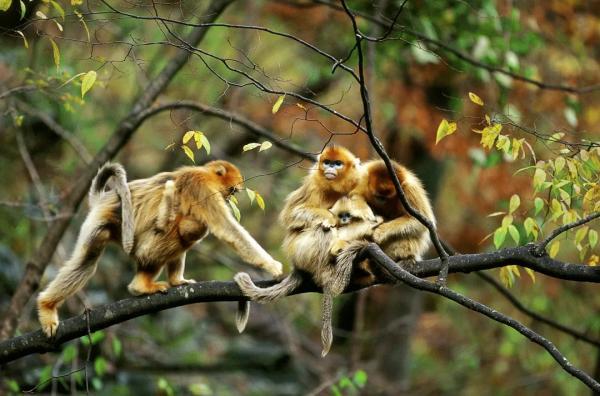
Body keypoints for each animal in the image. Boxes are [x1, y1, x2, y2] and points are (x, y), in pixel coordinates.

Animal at [38, 161, 284, 338]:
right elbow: (227, 229)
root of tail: (106, 198)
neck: (202, 173)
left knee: (87, 261)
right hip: (113, 225)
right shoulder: (201, 188)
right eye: (232, 191)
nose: (230, 198)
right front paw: (271, 266)